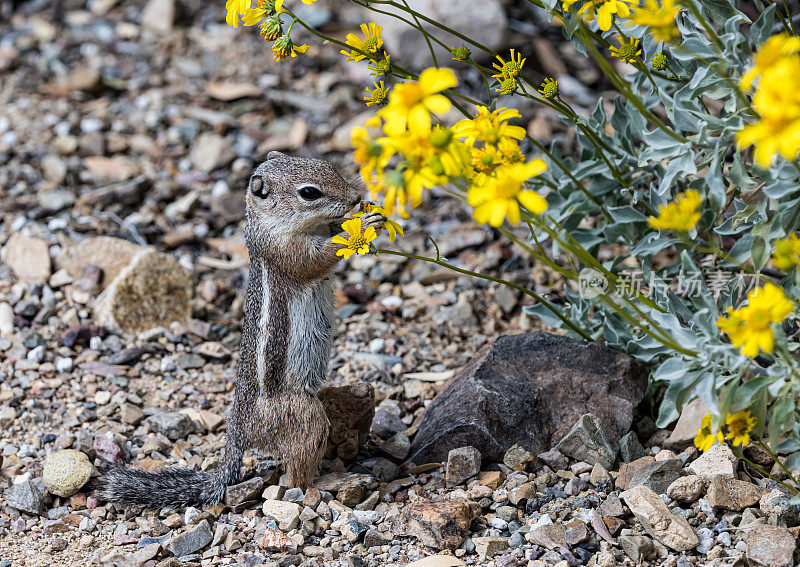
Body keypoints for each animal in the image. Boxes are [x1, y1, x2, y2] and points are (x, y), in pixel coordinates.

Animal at [98, 153, 386, 508]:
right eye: (309, 193)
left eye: (327, 166)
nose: (355, 198)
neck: (275, 223)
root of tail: (238, 432)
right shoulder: (285, 252)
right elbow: (316, 260)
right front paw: (364, 225)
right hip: (303, 416)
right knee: (296, 475)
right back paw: (333, 482)